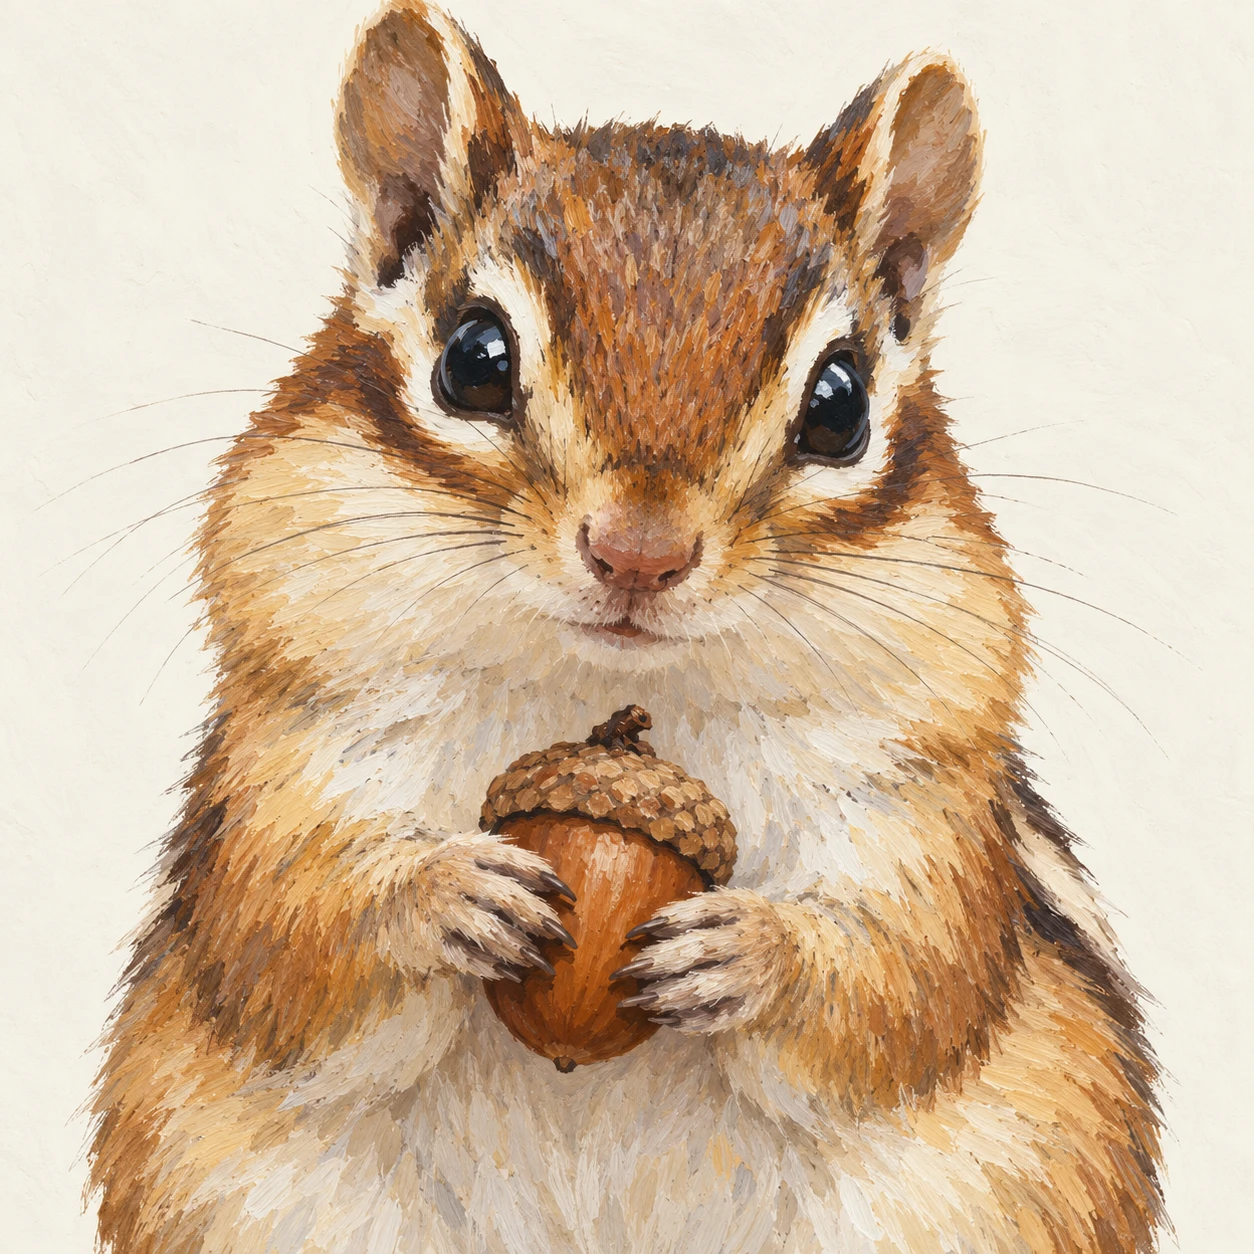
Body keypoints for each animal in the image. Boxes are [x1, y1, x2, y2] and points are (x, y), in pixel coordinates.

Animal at [89, 3, 1163, 1251]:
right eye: (473, 357)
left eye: (840, 403)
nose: (639, 552)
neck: (605, 699)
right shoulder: (290, 747)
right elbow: (284, 943)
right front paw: (439, 896)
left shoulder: (922, 798)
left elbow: (905, 988)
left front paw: (757, 955)